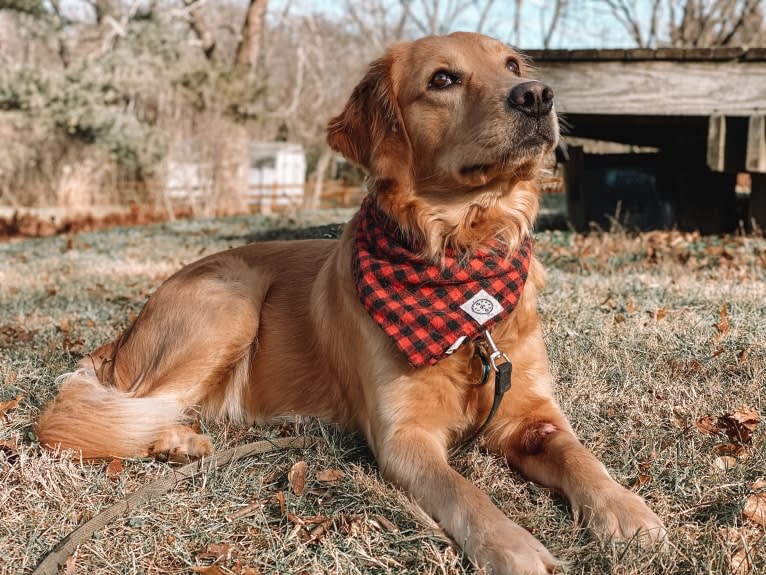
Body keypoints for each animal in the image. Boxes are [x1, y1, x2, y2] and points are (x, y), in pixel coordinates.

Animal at [39, 32, 668, 575]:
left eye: (513, 65)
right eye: (443, 79)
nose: (537, 95)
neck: (462, 257)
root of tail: (125, 332)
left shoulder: (532, 415)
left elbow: (579, 455)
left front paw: (625, 509)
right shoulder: (404, 439)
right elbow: (464, 493)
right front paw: (513, 546)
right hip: (231, 299)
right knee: (133, 405)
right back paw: (174, 440)